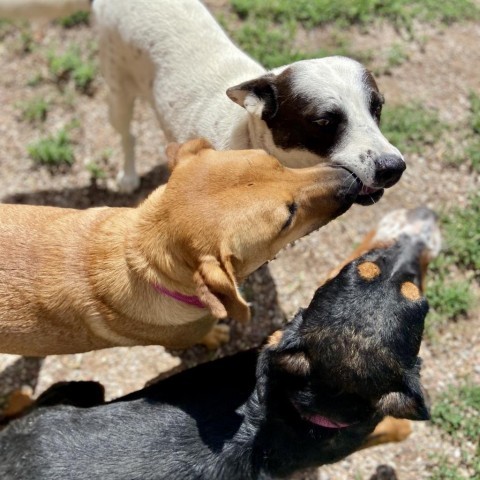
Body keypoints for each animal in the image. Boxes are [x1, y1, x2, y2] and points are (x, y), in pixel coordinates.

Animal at [0, 0, 404, 201]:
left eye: (377, 108)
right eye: (324, 122)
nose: (394, 168)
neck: (249, 140)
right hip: (118, 89)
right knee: (127, 134)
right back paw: (129, 175)